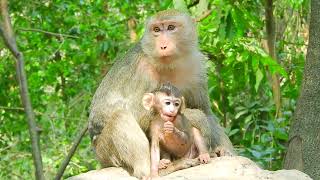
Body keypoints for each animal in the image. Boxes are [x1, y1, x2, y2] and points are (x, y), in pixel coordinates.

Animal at [87, 9, 235, 178]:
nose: (163, 45)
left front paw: (223, 149)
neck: (170, 65)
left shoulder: (196, 67)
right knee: (121, 117)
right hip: (105, 152)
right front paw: (196, 117)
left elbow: (205, 110)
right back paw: (157, 171)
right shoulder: (142, 71)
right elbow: (136, 115)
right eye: (157, 30)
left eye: (171, 27)